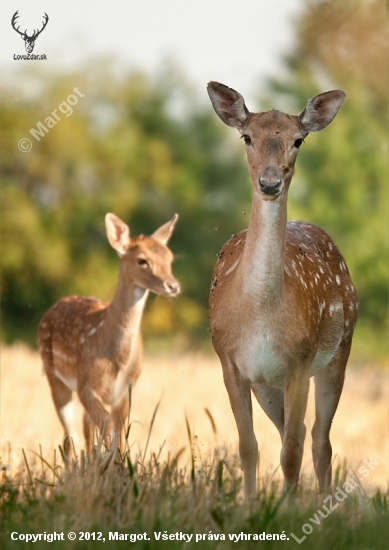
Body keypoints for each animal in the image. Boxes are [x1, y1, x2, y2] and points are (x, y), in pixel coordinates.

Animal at [37, 213, 180, 464]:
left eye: (169, 258)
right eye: (142, 260)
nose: (173, 286)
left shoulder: (124, 390)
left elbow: (118, 432)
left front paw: (120, 465)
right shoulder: (85, 384)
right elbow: (107, 427)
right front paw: (113, 463)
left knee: (84, 426)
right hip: (54, 375)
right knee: (70, 433)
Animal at [208, 82, 356, 500]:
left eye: (298, 140)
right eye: (246, 137)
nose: (270, 182)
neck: (260, 312)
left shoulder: (299, 363)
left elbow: (291, 452)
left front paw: (288, 510)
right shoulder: (230, 362)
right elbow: (248, 447)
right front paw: (251, 506)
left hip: (338, 353)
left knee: (319, 441)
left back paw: (322, 502)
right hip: (268, 385)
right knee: (297, 433)